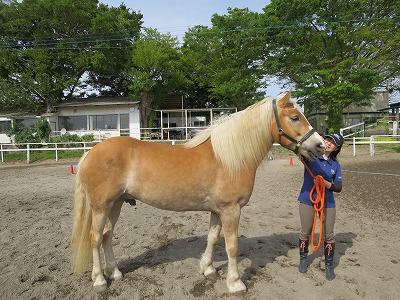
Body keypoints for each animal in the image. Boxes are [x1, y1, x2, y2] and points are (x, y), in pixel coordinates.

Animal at [69, 91, 324, 292]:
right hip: (101, 206)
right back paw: (100, 280)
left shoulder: (218, 210)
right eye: (295, 117)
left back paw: (115, 273)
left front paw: (208, 269)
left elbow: (213, 238)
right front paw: (235, 283)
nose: (320, 146)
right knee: (95, 237)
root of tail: (89, 153)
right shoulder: (231, 211)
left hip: (117, 203)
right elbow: (232, 246)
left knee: (106, 236)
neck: (230, 158)